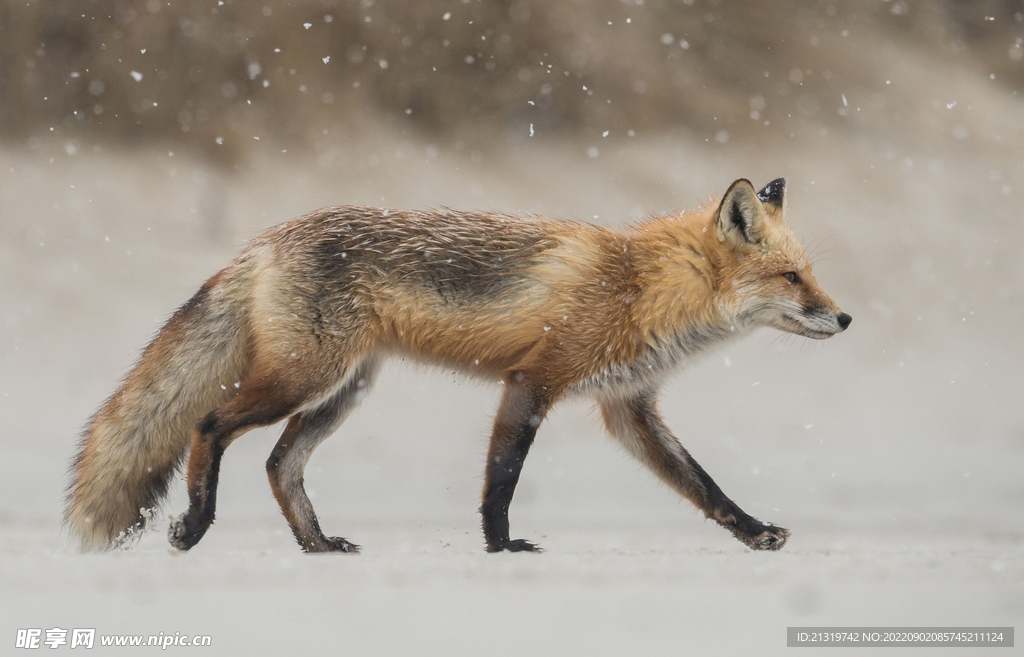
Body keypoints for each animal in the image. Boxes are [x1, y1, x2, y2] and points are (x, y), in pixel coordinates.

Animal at [59, 178, 851, 552]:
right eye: (791, 279)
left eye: (812, 274)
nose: (845, 319)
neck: (642, 286)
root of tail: (266, 238)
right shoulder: (535, 379)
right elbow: (502, 479)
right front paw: (501, 546)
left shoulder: (628, 408)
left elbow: (704, 485)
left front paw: (754, 533)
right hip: (300, 380)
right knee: (209, 424)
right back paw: (196, 523)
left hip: (343, 390)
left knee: (280, 465)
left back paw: (316, 545)